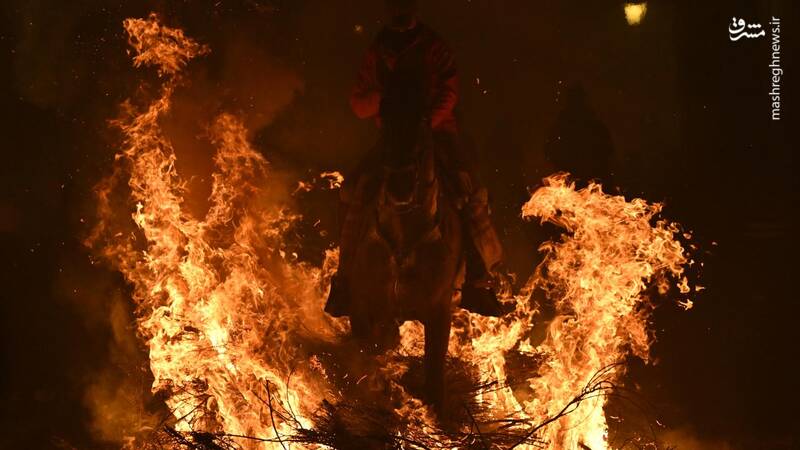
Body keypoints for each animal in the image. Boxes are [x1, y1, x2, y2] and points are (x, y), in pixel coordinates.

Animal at [346, 121, 463, 411]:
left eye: (423, 129)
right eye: (385, 127)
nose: (400, 185)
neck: (403, 243)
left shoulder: (439, 312)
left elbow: (434, 366)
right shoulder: (362, 305)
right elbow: (366, 353)